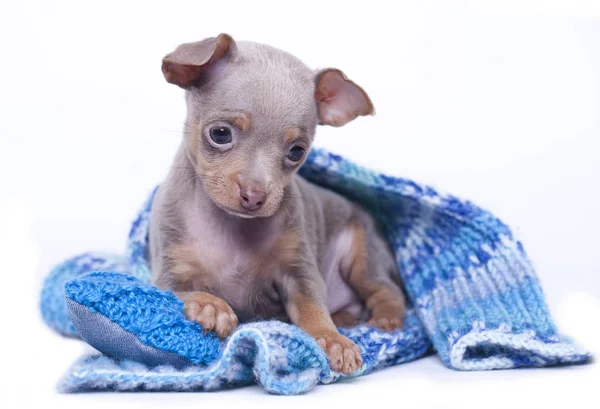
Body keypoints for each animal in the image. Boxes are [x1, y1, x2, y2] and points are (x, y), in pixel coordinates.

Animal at [150, 35, 406, 372]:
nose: (254, 195)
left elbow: (312, 307)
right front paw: (209, 305)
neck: (230, 226)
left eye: (297, 152)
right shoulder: (166, 276)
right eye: (220, 134)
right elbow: (180, 292)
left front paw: (331, 338)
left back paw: (384, 319)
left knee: (387, 289)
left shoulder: (299, 272)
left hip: (363, 254)